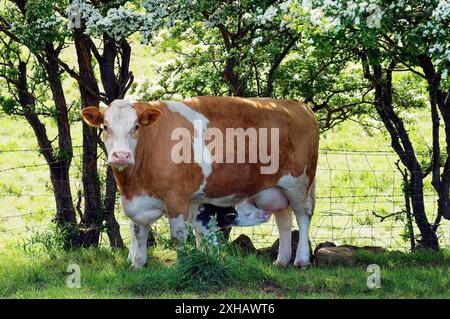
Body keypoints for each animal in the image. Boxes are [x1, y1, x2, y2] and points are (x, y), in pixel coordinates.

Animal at [81, 97, 320, 270]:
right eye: (105, 126)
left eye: (136, 126)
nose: (121, 156)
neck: (133, 184)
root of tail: (298, 105)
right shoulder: (139, 202)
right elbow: (139, 231)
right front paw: (137, 265)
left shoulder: (176, 199)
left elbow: (178, 237)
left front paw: (182, 266)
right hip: (274, 188)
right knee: (284, 219)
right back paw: (282, 260)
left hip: (299, 183)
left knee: (303, 216)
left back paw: (301, 260)